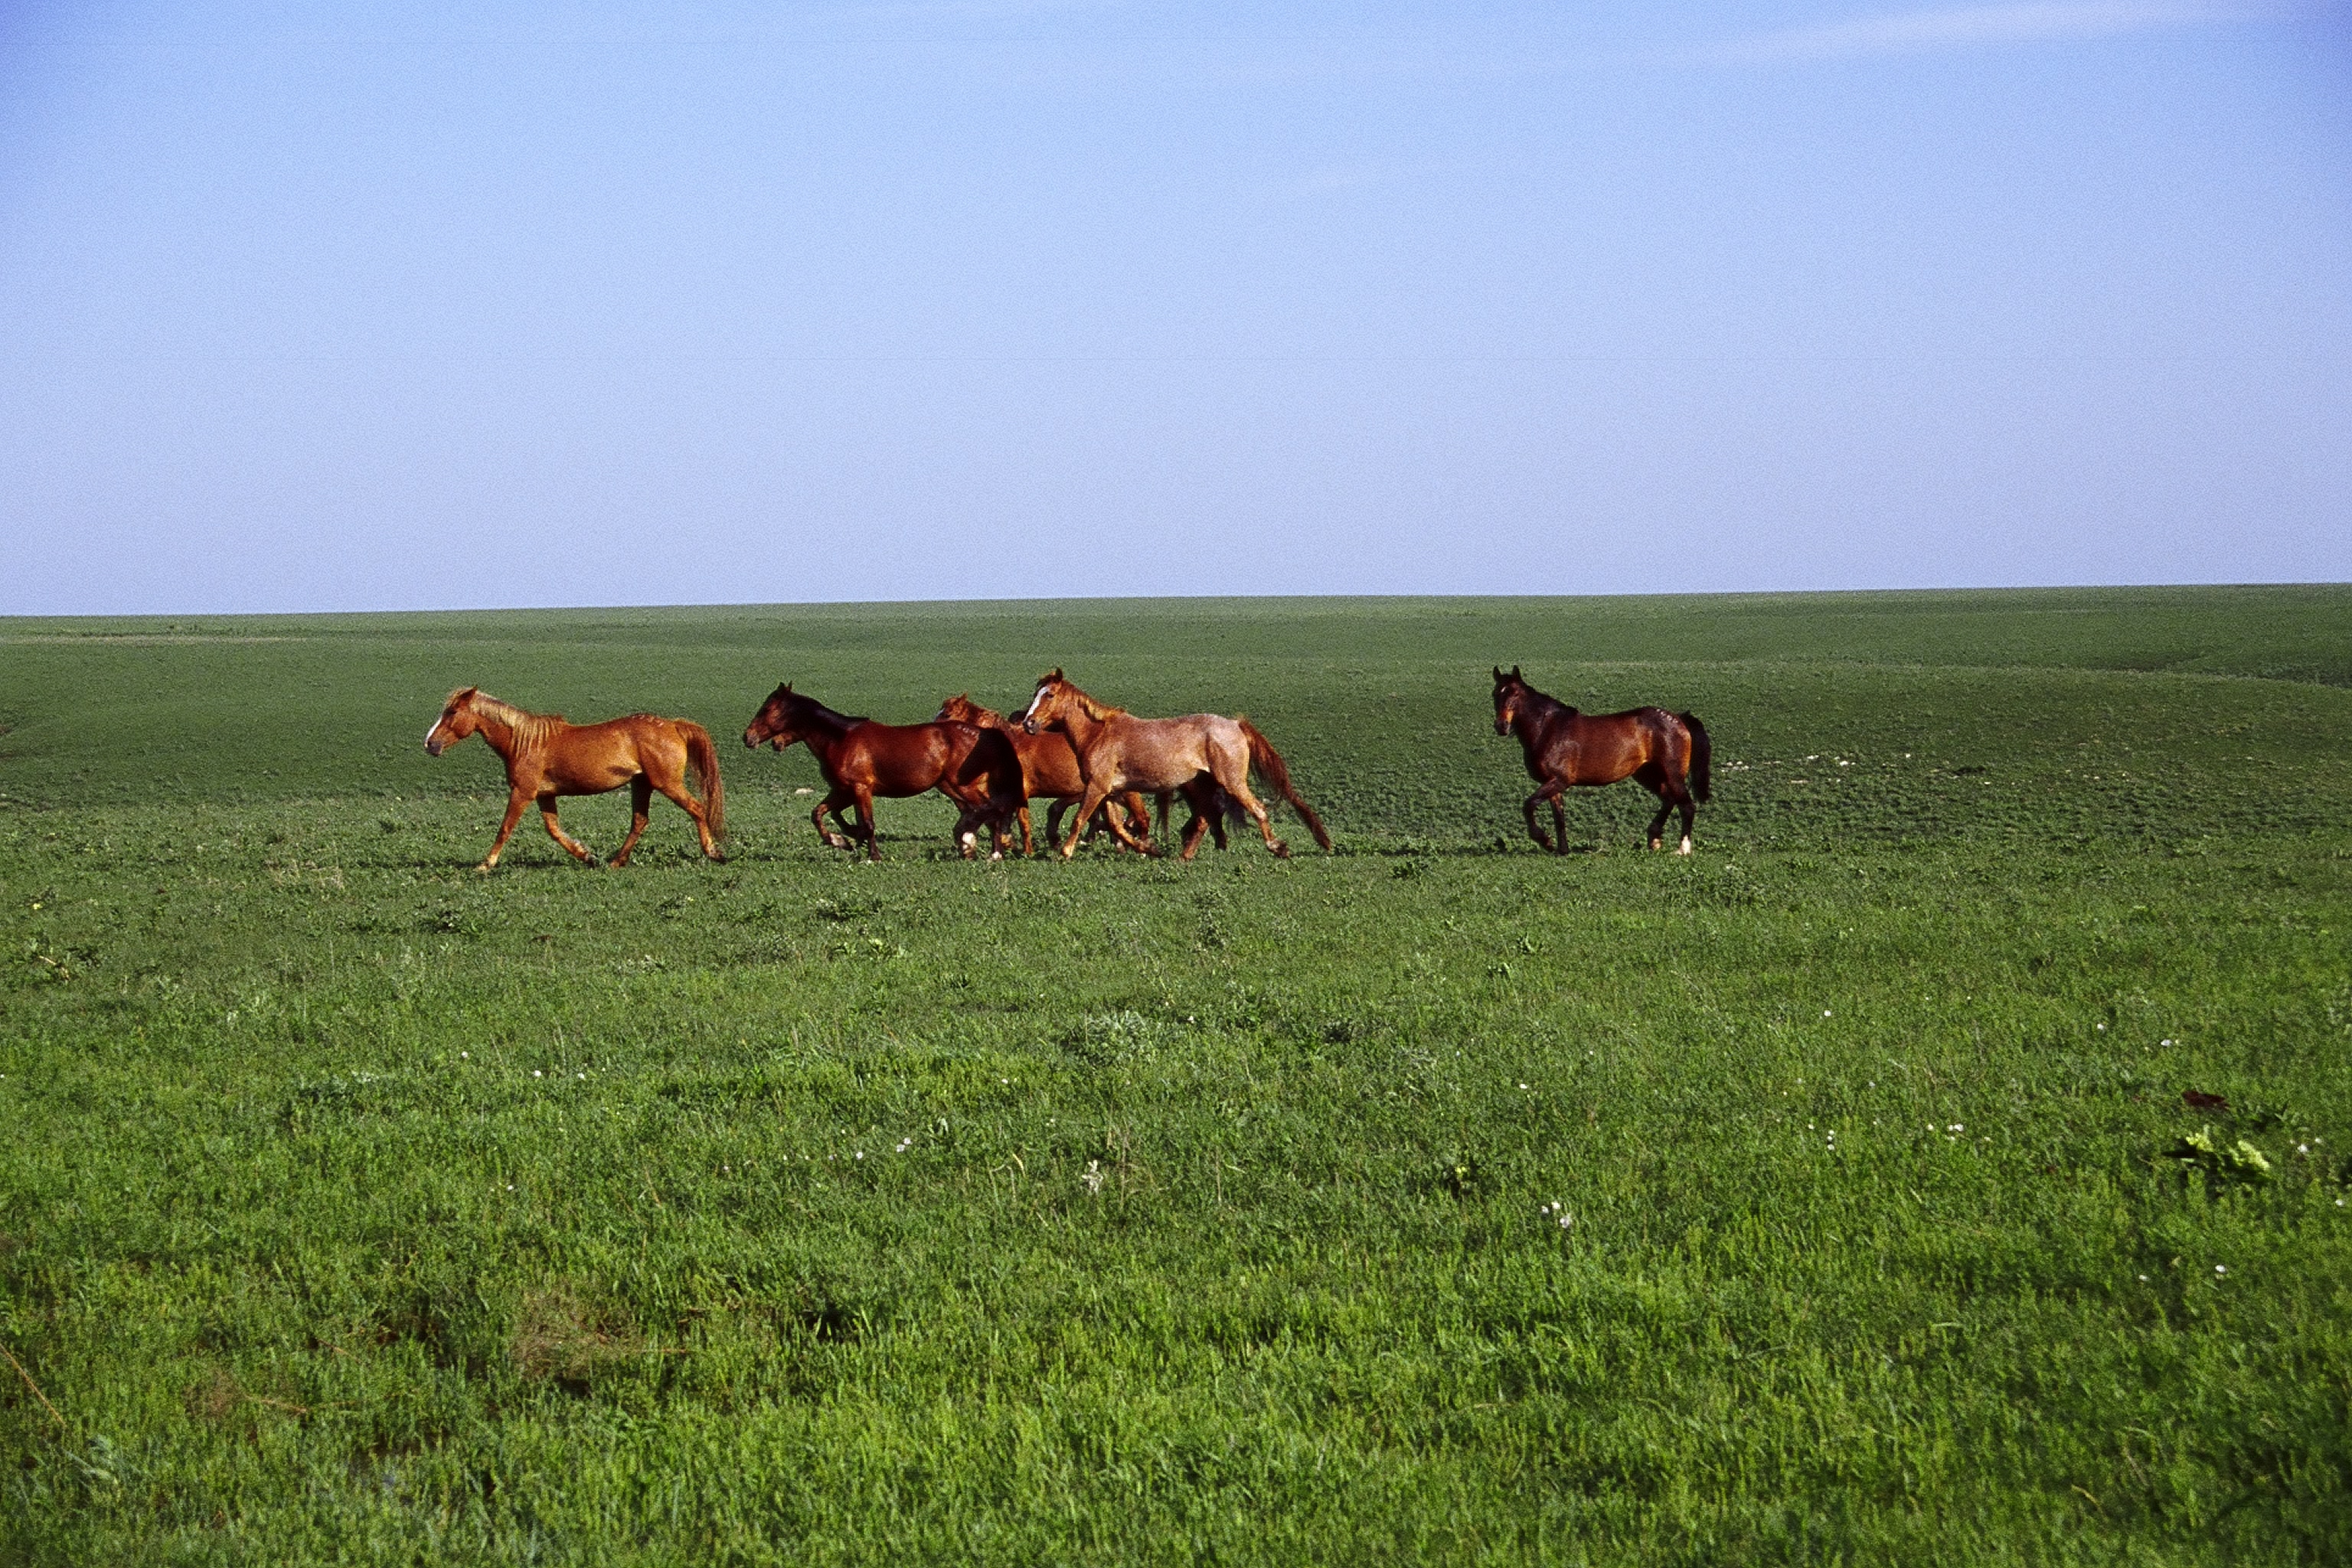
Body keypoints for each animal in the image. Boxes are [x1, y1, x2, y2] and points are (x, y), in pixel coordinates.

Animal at [418, 691, 720, 870]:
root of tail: (674, 726)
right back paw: (615, 861)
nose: (429, 744)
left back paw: (713, 852)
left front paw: (485, 864)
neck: (525, 744)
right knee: (640, 821)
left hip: (666, 783)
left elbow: (505, 827)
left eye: (452, 712)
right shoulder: (544, 795)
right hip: (642, 783)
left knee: (697, 808)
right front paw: (586, 855)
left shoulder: (523, 792)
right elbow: (553, 830)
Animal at [743, 681, 1021, 864]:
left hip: (962, 786)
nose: (748, 737)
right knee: (987, 812)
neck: (841, 739)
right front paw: (842, 840)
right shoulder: (843, 791)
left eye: (766, 710)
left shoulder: (861, 789)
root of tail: (985, 733)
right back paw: (983, 850)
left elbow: (867, 822)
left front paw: (871, 853)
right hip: (958, 787)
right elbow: (821, 814)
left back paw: (980, 845)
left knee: (989, 809)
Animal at [931, 691, 1161, 851]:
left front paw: (1026, 850)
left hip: (1127, 792)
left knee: (1142, 818)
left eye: (948, 713)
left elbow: (1023, 823)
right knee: (1116, 822)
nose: (931, 732)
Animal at [1021, 668, 1335, 864]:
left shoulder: (1096, 788)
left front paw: (1065, 852)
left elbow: (1080, 819)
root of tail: (1235, 724)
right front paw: (1148, 848)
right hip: (1203, 784)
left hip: (1231, 782)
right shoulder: (1110, 792)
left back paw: (1277, 847)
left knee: (1256, 809)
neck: (1098, 735)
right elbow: (1117, 827)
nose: (1028, 723)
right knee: (1206, 817)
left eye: (1049, 695)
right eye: (1035, 694)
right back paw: (1184, 856)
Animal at [1486, 668, 1712, 860]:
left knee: (1686, 806)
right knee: (1669, 799)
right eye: (1496, 693)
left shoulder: (1559, 781)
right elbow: (1559, 817)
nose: (1501, 726)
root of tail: (1679, 719)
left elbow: (1528, 806)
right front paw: (1562, 849)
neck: (1547, 729)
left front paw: (1545, 841)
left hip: (1673, 774)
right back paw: (1654, 840)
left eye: (1515, 694)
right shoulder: (1552, 784)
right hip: (1647, 775)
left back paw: (1682, 849)